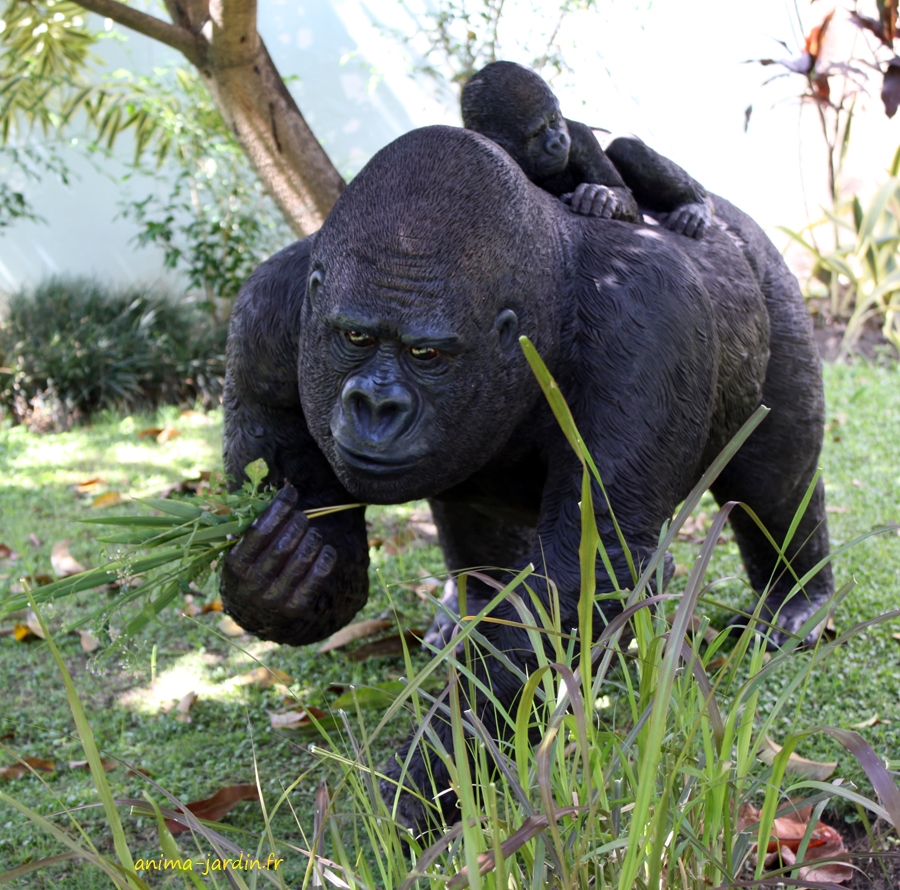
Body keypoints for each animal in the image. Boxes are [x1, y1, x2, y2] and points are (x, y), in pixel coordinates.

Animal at [221, 123, 832, 824]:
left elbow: (580, 579)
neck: (551, 289)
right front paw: (276, 576)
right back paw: (465, 607)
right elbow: (318, 522)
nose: (374, 406)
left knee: (773, 482)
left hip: (767, 270)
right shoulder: (266, 312)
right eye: (353, 337)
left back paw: (797, 599)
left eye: (426, 353)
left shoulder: (649, 324)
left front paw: (423, 786)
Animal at [464, 60, 712, 238]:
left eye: (553, 119)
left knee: (624, 145)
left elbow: (622, 193)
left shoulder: (580, 138)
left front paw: (600, 195)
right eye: (536, 133)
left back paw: (697, 205)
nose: (558, 141)